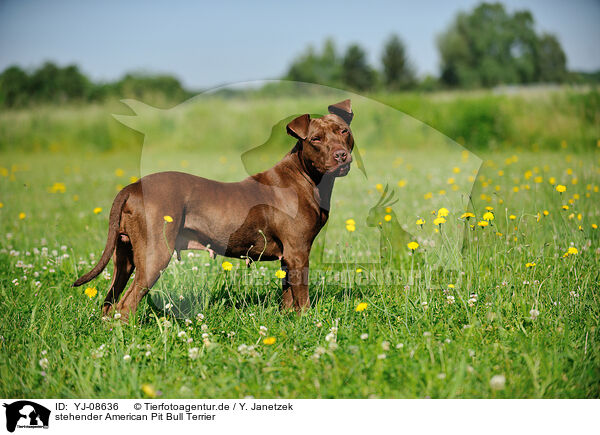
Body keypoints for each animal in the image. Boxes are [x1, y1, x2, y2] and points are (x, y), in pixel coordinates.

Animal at [75, 100, 356, 322]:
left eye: (344, 131)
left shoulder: (288, 257)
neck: (306, 177)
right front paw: (308, 322)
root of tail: (133, 187)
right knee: (126, 304)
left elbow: (288, 295)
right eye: (315, 139)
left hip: (125, 257)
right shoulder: (298, 253)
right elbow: (303, 297)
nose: (341, 155)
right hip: (155, 255)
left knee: (110, 301)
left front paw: (288, 319)